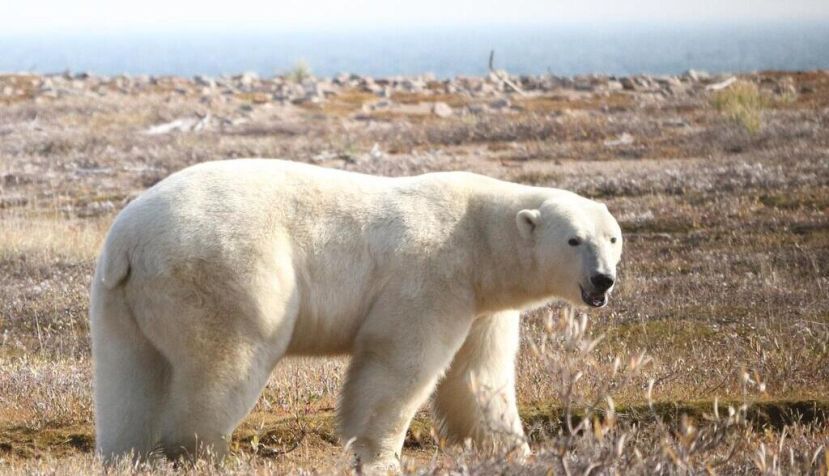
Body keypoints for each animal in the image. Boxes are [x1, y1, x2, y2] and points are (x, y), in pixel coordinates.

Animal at [90, 158, 622, 470]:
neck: (479, 237)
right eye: (573, 239)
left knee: (129, 377)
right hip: (224, 272)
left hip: (120, 300)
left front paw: (515, 451)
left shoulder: (483, 304)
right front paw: (379, 456)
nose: (603, 280)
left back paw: (127, 455)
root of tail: (129, 241)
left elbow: (477, 378)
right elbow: (399, 365)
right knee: (224, 362)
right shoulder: (432, 277)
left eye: (612, 237)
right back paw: (206, 453)